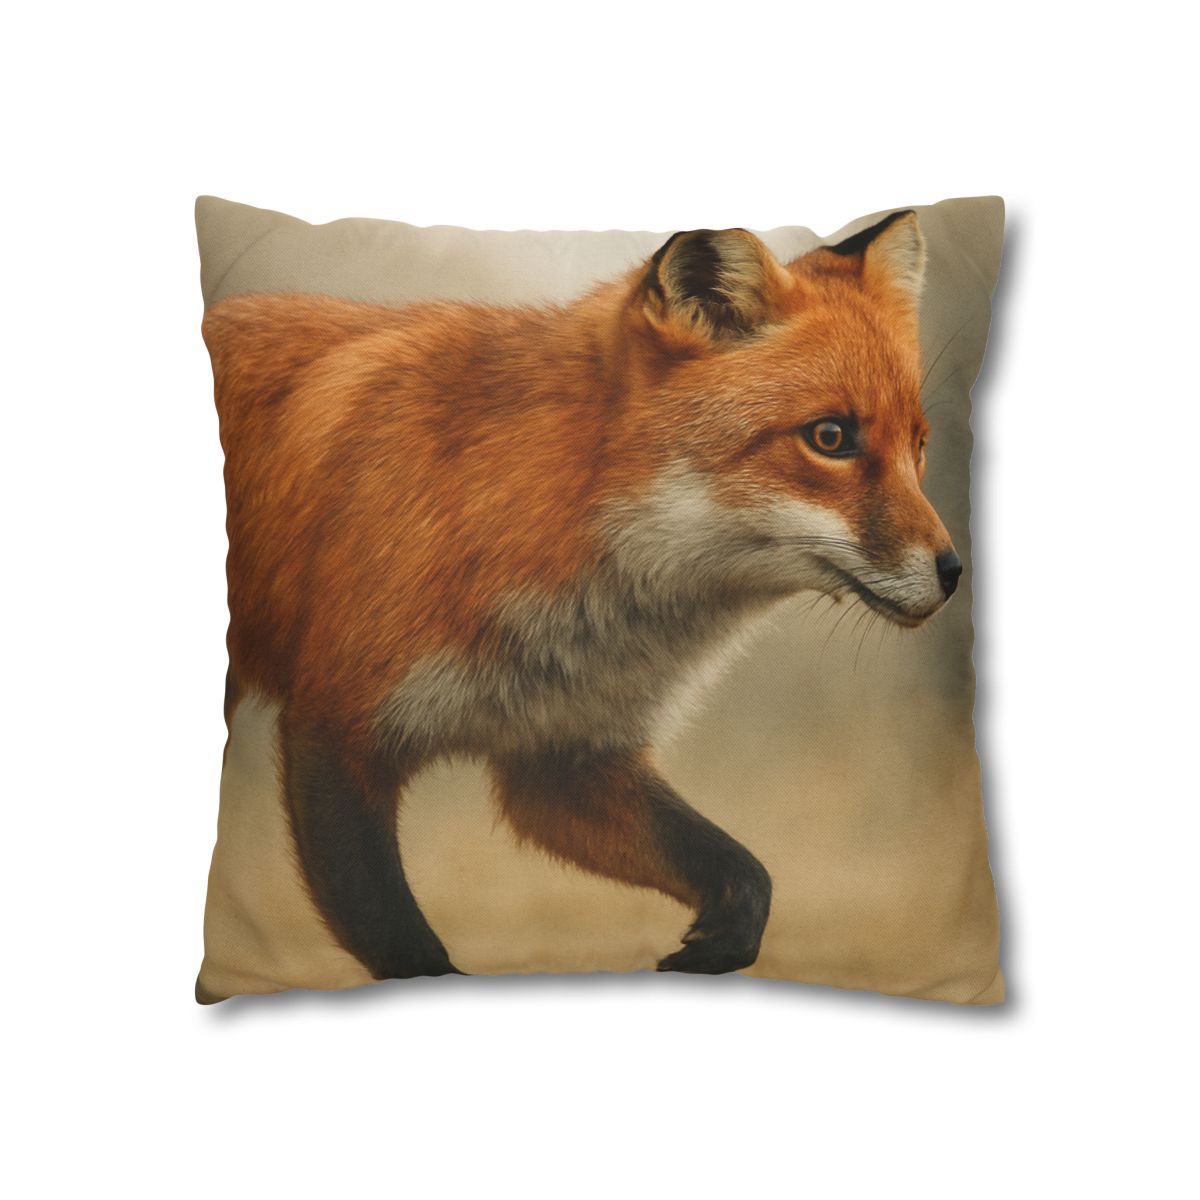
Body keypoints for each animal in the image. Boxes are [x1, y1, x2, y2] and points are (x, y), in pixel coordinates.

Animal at [204, 210, 962, 983]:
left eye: (918, 446)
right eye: (831, 437)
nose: (955, 571)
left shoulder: (564, 759)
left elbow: (746, 873)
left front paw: (716, 947)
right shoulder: (335, 730)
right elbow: (404, 943)